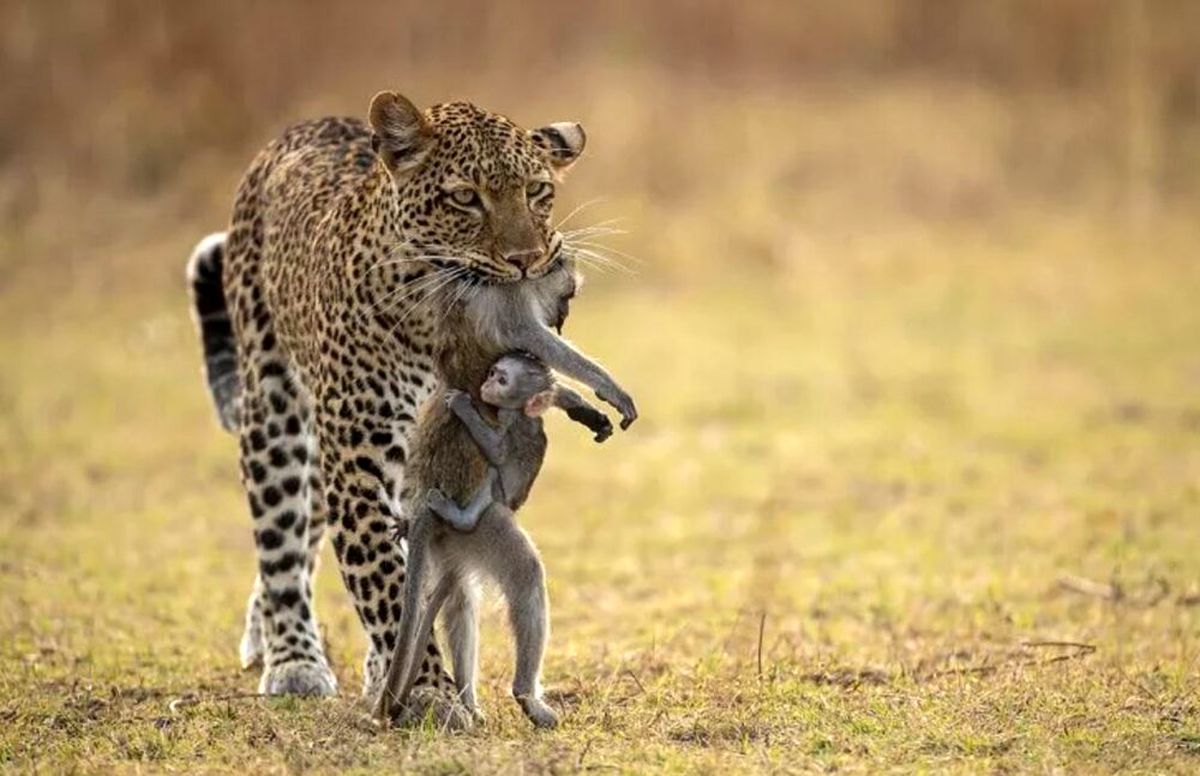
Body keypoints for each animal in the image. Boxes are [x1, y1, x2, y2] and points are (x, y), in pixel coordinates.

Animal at [376, 352, 609, 729]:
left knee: (493, 583)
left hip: (479, 527)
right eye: (493, 372)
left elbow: (500, 450)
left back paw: (508, 696)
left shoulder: (512, 426)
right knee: (482, 590)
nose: (486, 384)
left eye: (501, 379)